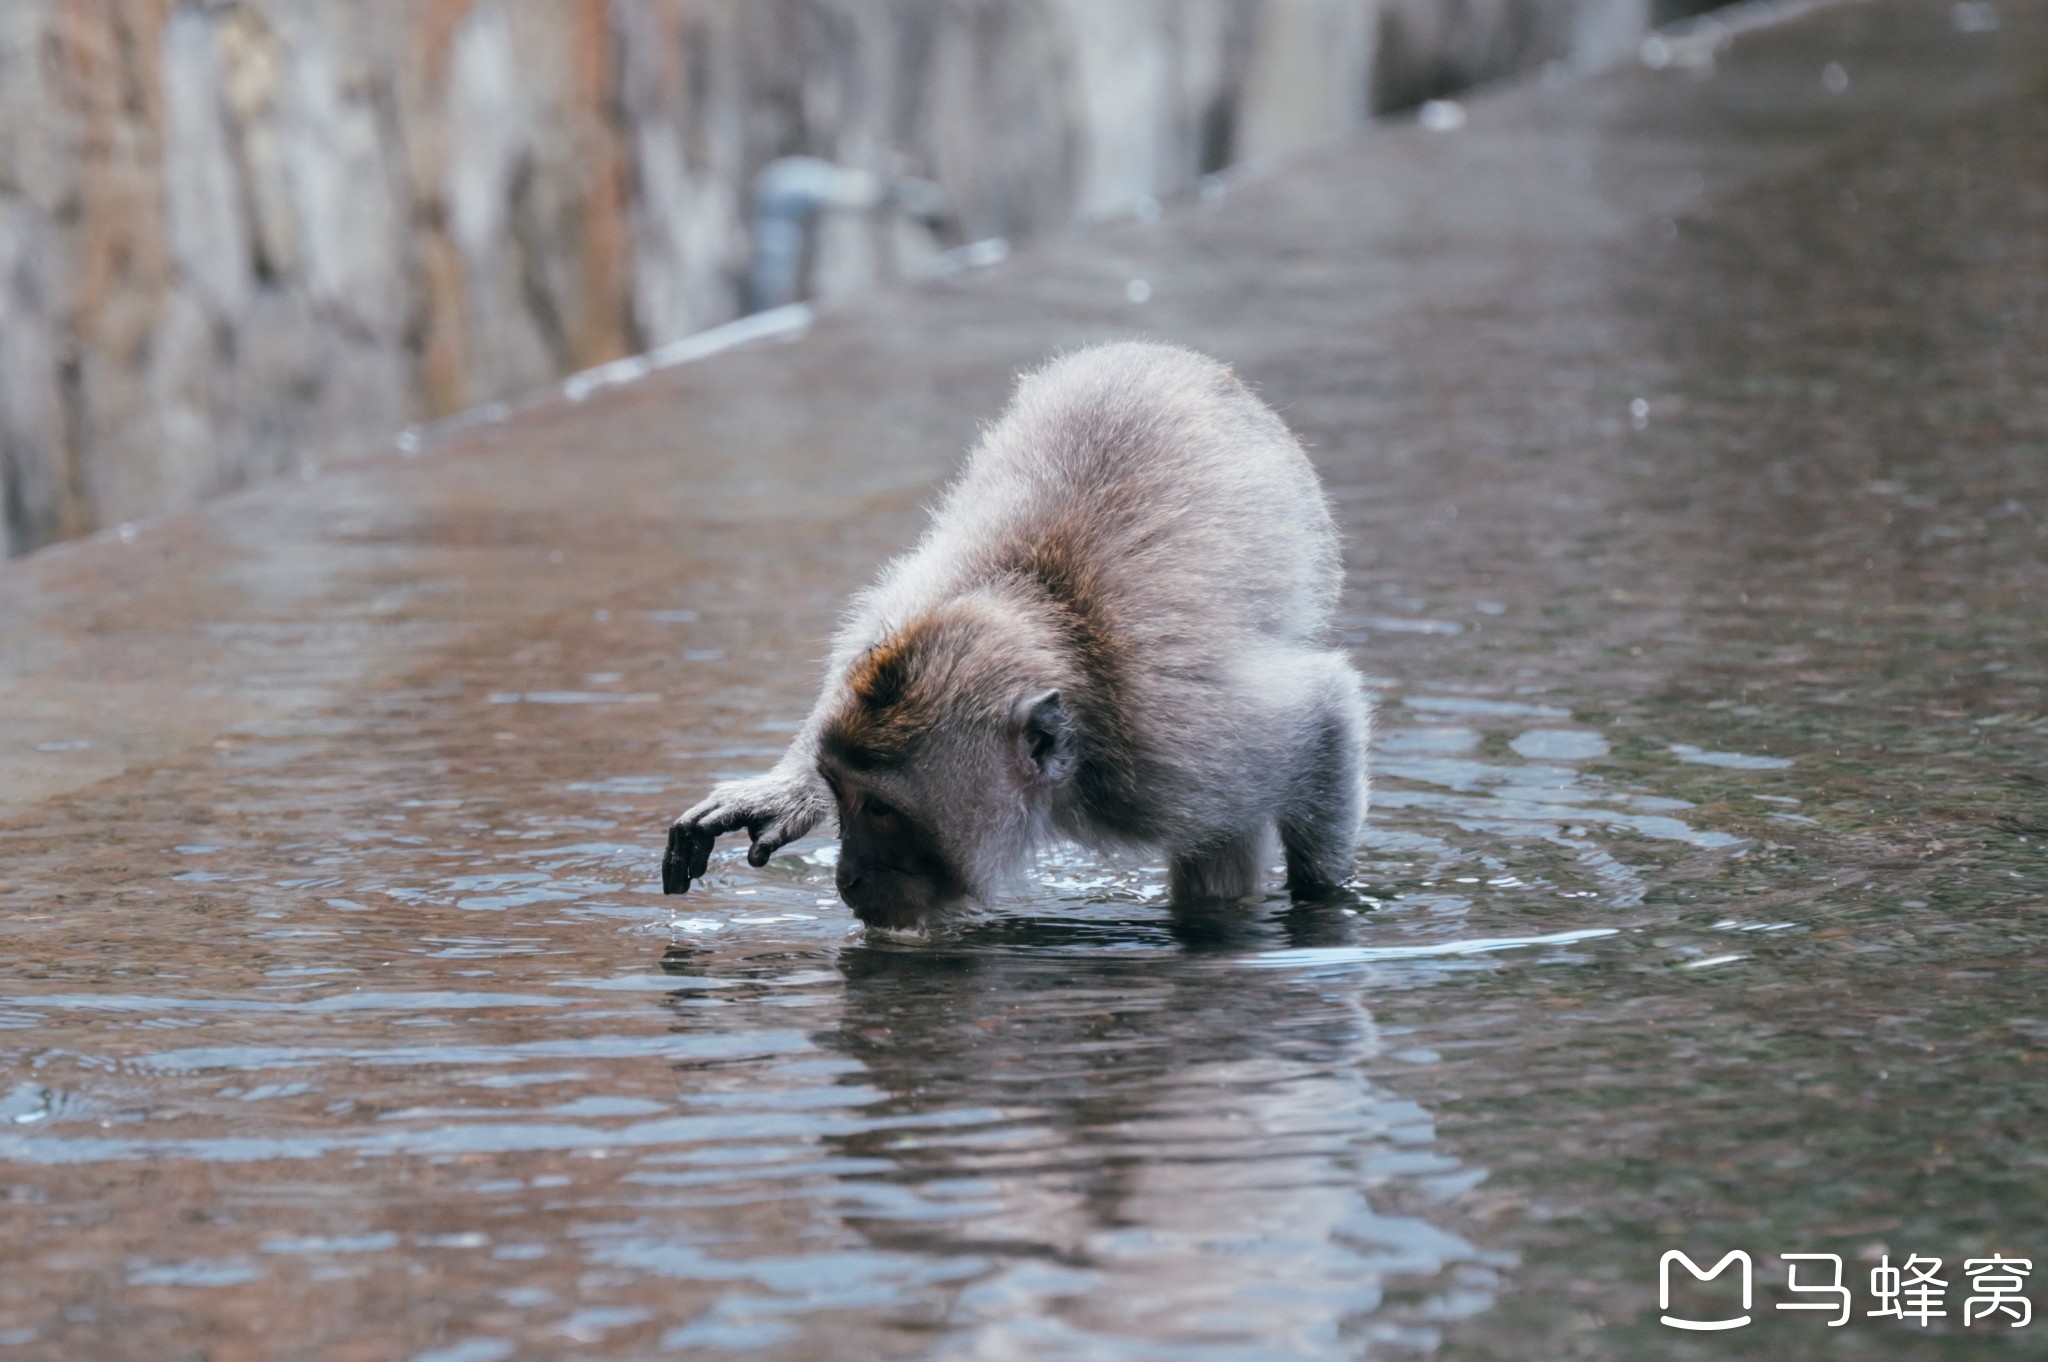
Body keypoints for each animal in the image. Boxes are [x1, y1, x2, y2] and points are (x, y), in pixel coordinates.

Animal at [663, 335, 1368, 929]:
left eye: (883, 810)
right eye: (840, 792)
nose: (848, 880)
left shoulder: (1184, 758)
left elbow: (1326, 719)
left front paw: (1322, 908)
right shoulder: (911, 614)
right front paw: (788, 790)